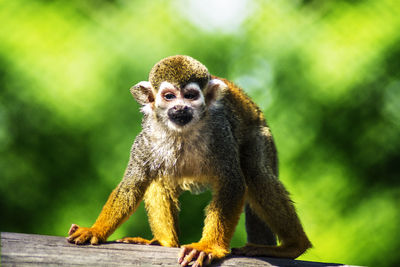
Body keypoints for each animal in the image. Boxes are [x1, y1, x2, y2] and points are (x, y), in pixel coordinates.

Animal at [67, 55, 312, 266]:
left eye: (191, 96)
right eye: (169, 96)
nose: (180, 107)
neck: (182, 131)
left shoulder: (220, 132)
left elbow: (232, 183)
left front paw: (209, 247)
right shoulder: (146, 138)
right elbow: (132, 185)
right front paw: (96, 230)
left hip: (260, 135)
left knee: (255, 173)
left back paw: (294, 246)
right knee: (158, 179)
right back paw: (165, 243)